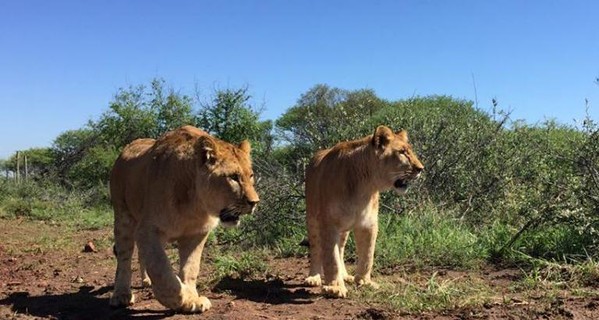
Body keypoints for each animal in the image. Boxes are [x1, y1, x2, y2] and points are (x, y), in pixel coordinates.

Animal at [109, 124, 258, 312]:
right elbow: (161, 270)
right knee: (124, 259)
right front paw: (180, 297)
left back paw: (146, 281)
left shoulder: (197, 234)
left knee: (141, 256)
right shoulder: (148, 230)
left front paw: (192, 299)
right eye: (233, 177)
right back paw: (121, 295)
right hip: (123, 217)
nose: (254, 202)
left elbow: (191, 268)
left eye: (250, 176)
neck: (195, 206)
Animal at [304, 124, 426, 298]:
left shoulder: (368, 224)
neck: (365, 186)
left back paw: (345, 276)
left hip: (344, 228)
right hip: (313, 218)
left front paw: (364, 281)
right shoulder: (329, 224)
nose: (421, 168)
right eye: (402, 152)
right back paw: (313, 277)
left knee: (340, 248)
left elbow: (368, 255)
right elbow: (331, 258)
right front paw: (335, 287)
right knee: (315, 247)